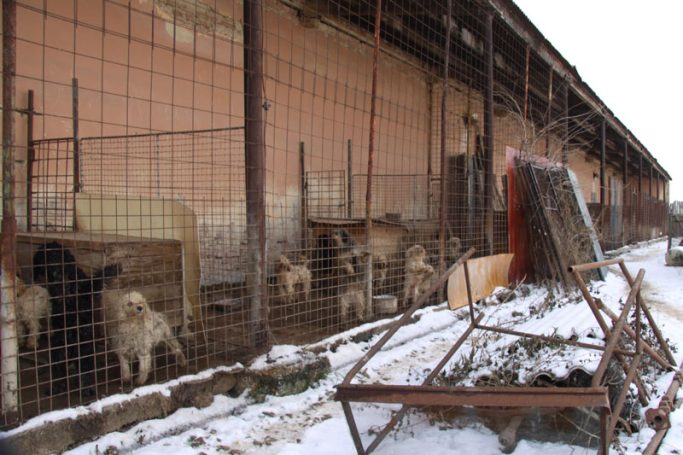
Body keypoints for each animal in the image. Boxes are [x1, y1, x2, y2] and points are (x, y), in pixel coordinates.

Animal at [33, 241, 120, 395]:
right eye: (45, 257)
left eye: (58, 255)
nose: (55, 270)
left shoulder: (84, 288)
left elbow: (95, 280)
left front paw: (110, 269)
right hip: (59, 347)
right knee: (60, 369)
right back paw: (59, 386)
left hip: (84, 344)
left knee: (84, 366)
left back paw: (85, 387)